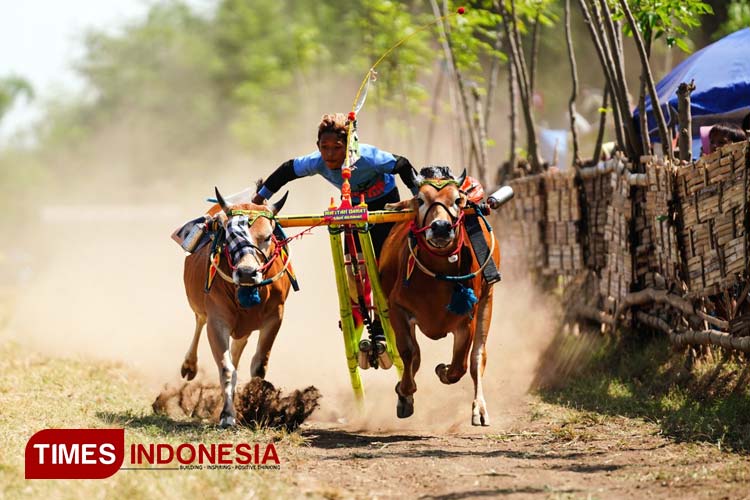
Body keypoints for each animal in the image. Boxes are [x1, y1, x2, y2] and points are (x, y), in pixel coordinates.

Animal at [179, 186, 290, 428]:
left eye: (267, 237)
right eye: (230, 236)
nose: (247, 272)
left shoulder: (275, 316)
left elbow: (258, 366)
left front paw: (254, 404)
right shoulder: (217, 320)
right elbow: (226, 369)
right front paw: (227, 415)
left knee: (238, 348)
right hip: (200, 308)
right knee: (199, 322)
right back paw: (189, 365)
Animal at [382, 167, 500, 426]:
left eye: (457, 200)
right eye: (420, 200)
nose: (441, 227)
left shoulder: (467, 318)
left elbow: (460, 366)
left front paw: (442, 371)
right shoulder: (397, 308)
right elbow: (409, 353)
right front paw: (404, 393)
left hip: (488, 301)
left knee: (478, 358)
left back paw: (480, 408)